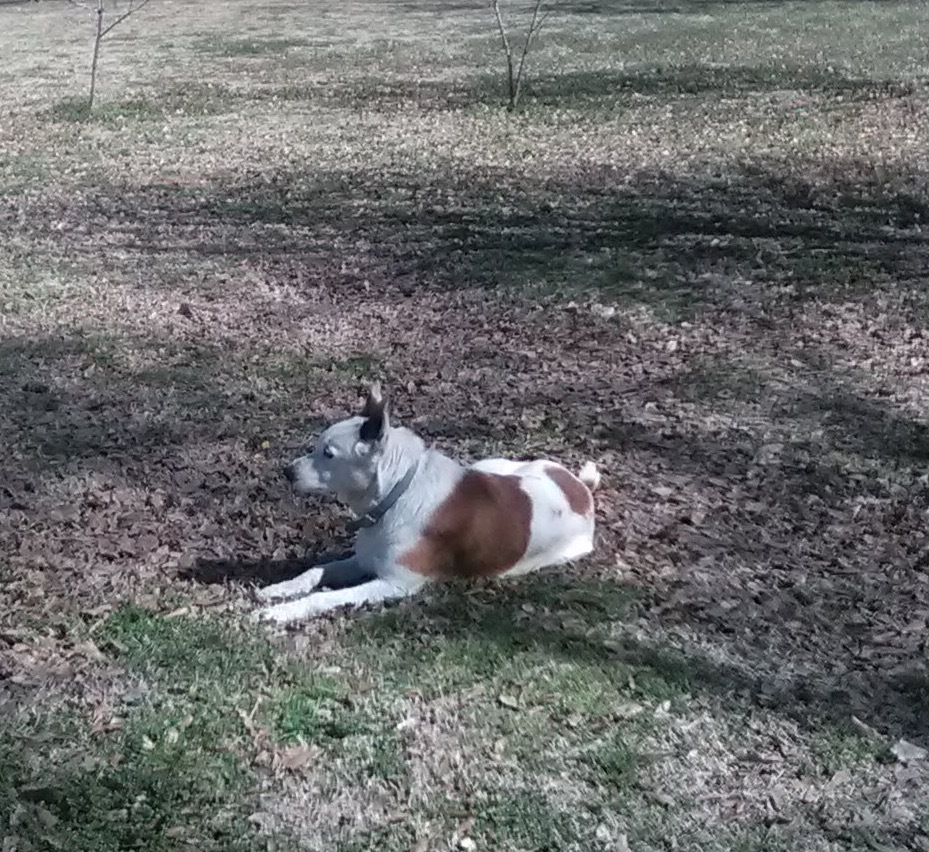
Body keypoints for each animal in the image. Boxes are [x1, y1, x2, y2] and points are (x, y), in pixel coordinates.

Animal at [254, 382, 600, 624]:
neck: (396, 494)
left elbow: (326, 597)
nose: (287, 472)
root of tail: (581, 489)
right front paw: (279, 589)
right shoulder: (363, 561)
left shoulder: (395, 584)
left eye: (328, 454)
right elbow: (314, 571)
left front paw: (281, 613)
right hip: (494, 466)